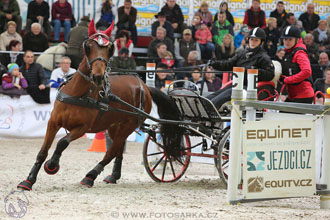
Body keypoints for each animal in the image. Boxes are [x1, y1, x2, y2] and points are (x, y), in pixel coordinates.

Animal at [16, 19, 182, 190]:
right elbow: (42, 151)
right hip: (115, 126)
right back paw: (113, 176)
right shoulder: (53, 123)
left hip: (128, 126)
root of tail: (145, 87)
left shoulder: (82, 128)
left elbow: (62, 142)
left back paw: (90, 176)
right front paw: (28, 180)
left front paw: (52, 165)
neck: (77, 94)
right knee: (118, 149)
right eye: (88, 46)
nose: (97, 76)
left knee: (111, 152)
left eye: (109, 49)